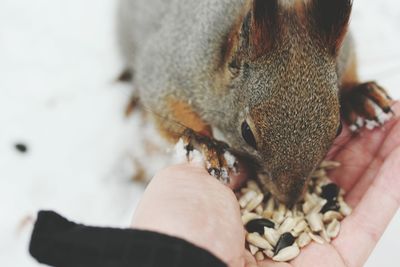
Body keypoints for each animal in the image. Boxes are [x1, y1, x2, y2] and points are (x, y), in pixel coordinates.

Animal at [117, 0, 392, 207]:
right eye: (246, 132)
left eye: (337, 129)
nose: (288, 199)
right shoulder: (172, 66)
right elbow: (166, 106)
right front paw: (205, 144)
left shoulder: (345, 51)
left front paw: (358, 96)